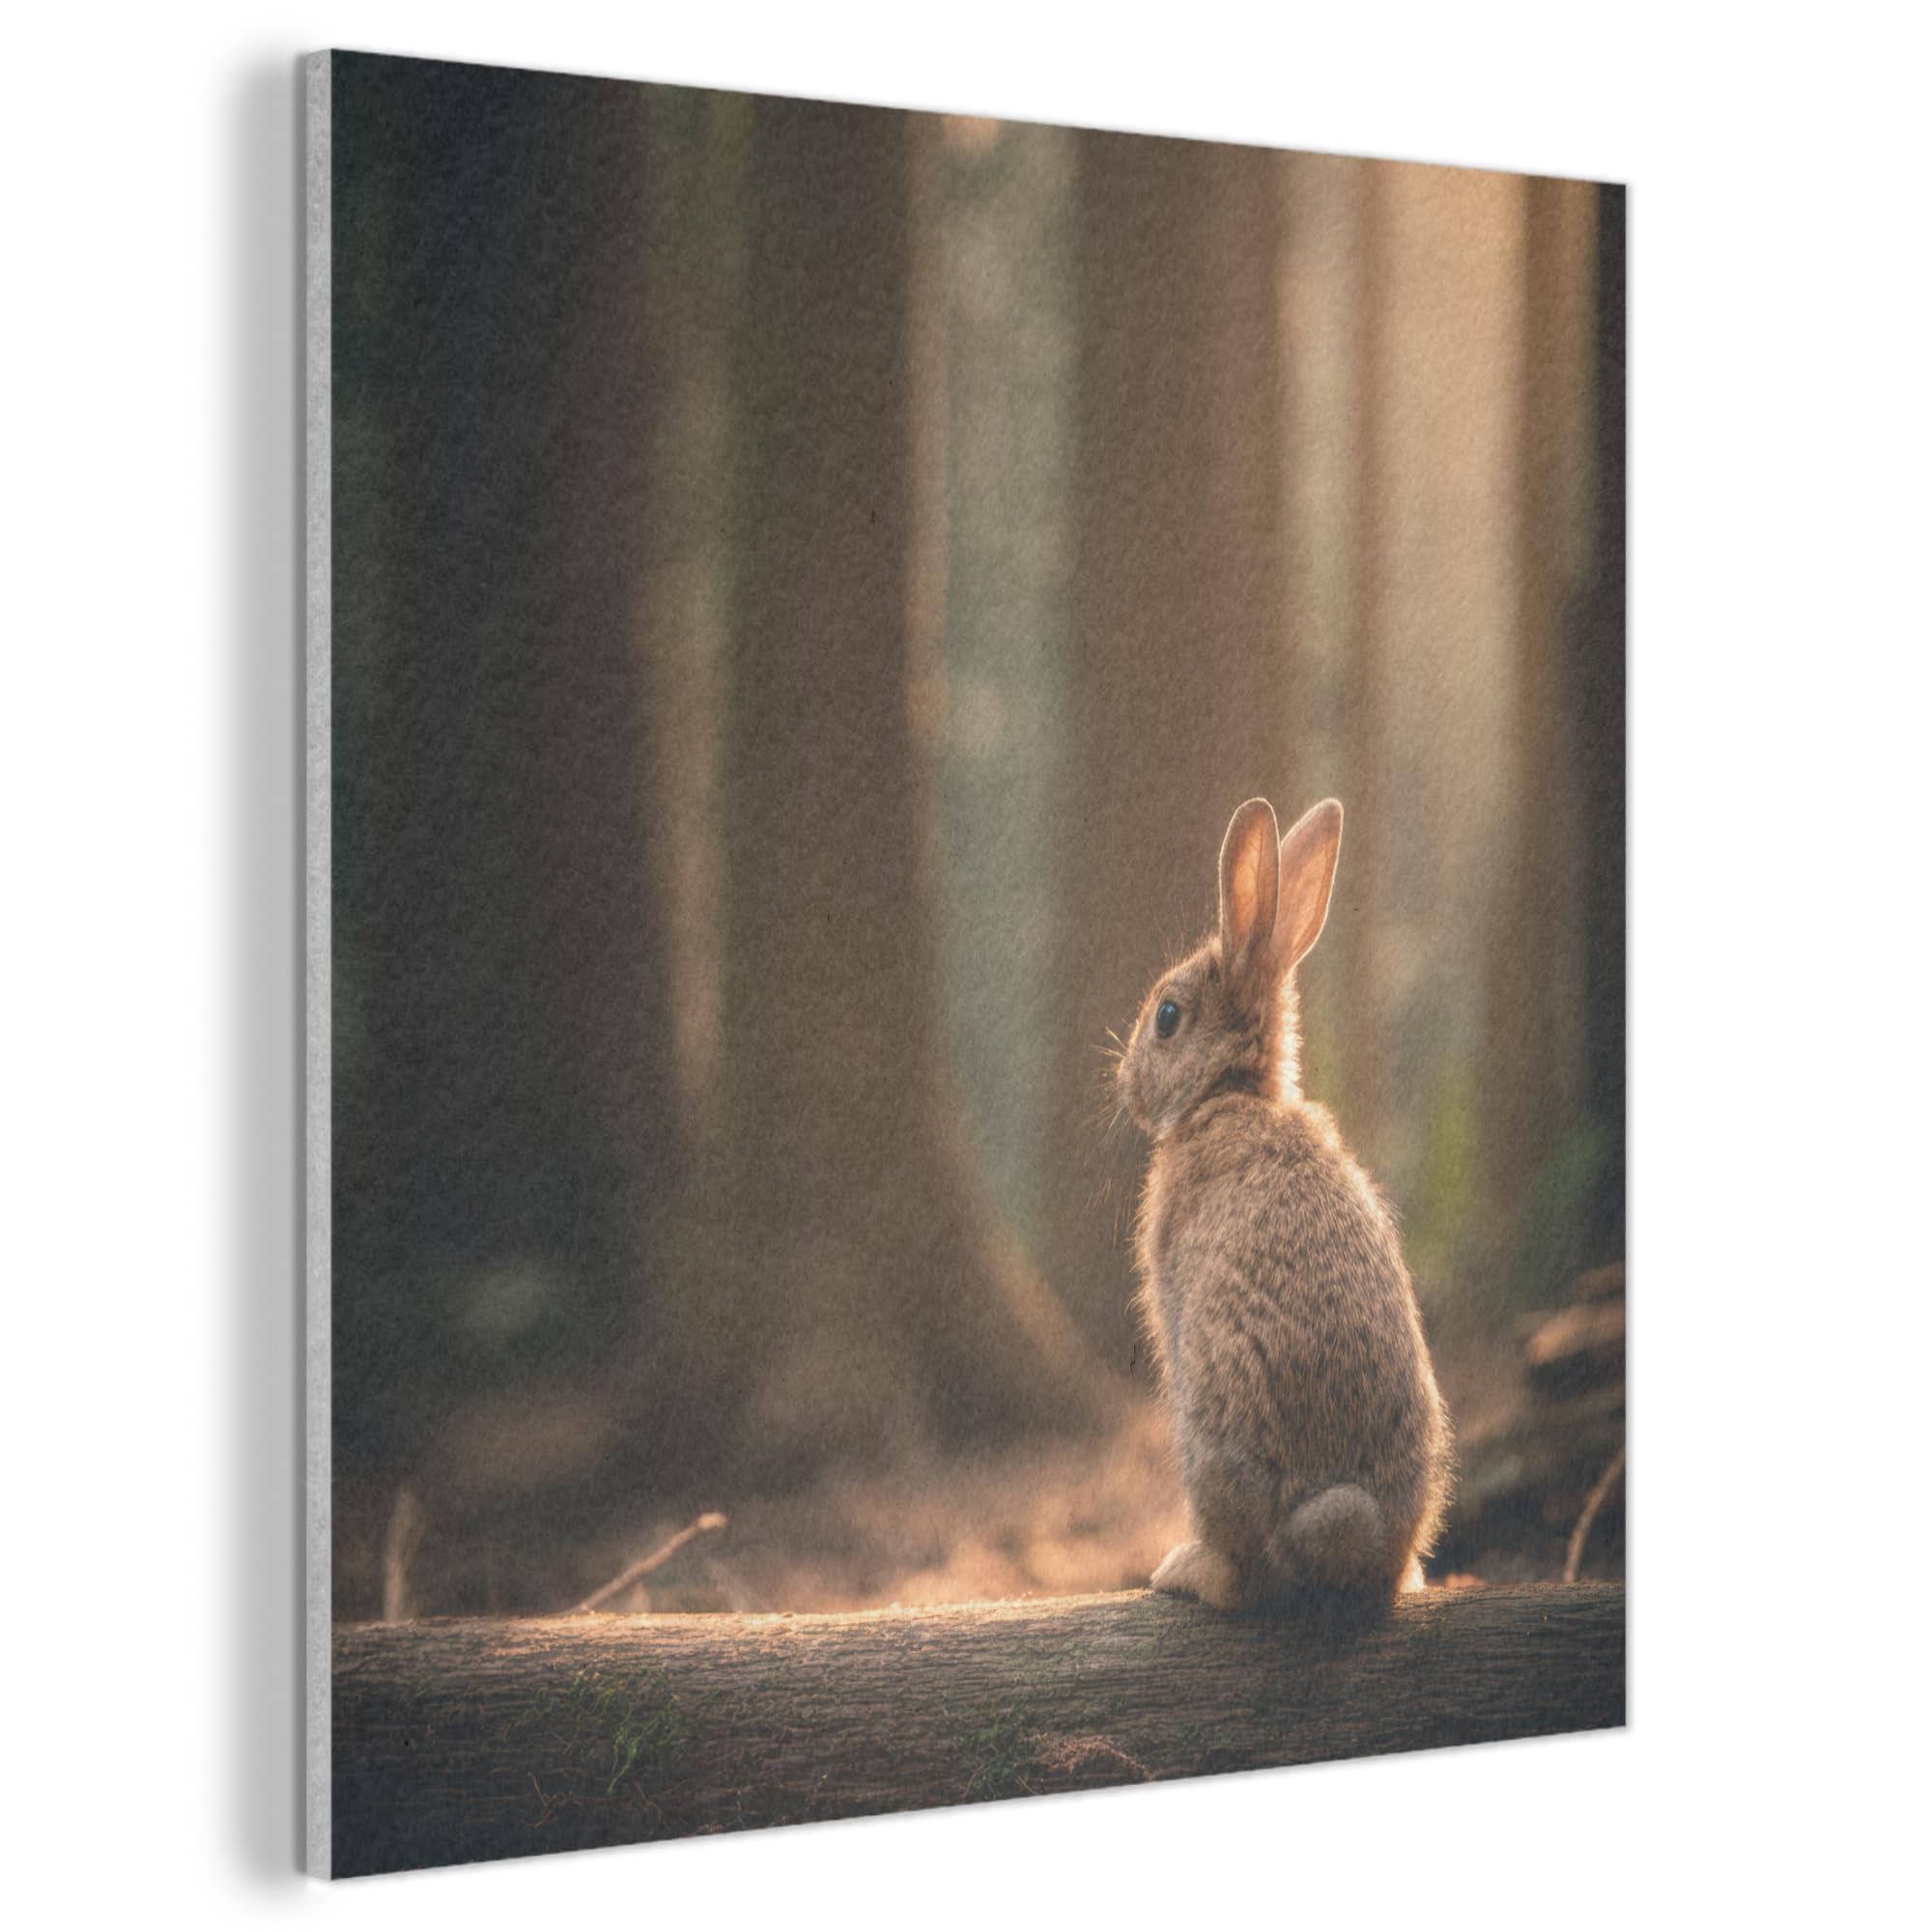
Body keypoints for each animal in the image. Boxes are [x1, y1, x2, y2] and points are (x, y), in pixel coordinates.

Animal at [1118, 797, 1452, 1610]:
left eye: (1166, 1017)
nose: (1125, 1084)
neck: (1229, 1094)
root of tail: (1348, 1532)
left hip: (1209, 1434)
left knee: (1243, 1574)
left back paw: (1185, 1571)